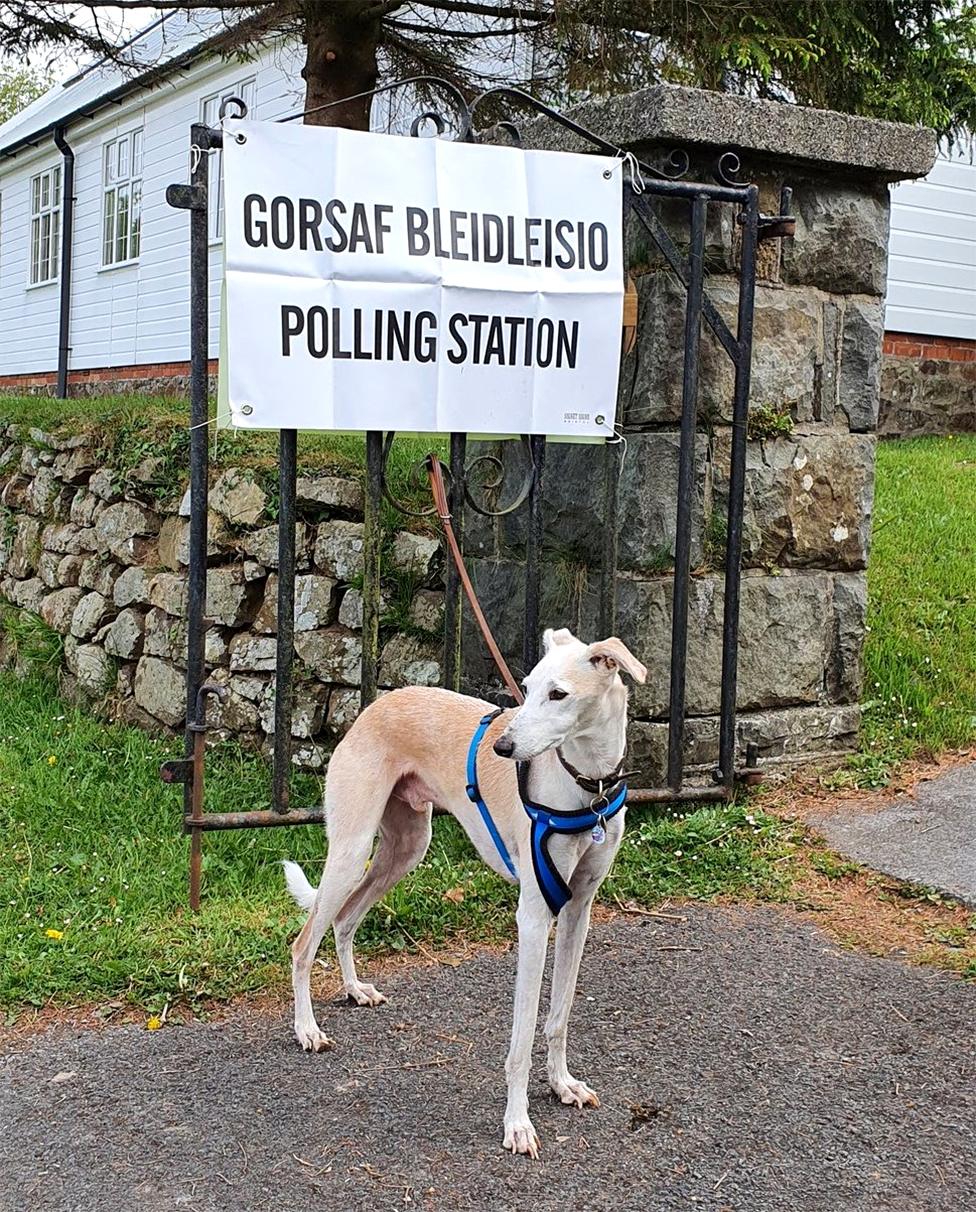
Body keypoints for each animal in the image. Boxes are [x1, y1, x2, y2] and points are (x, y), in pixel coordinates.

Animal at [283, 630, 645, 1158]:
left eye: (558, 694)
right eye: (527, 688)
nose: (504, 746)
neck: (586, 788)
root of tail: (376, 705)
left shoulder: (578, 911)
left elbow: (558, 1016)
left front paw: (562, 1085)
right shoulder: (534, 918)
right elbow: (521, 1039)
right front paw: (517, 1124)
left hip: (406, 848)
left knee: (346, 919)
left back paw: (354, 989)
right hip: (351, 850)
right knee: (303, 943)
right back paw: (307, 1030)